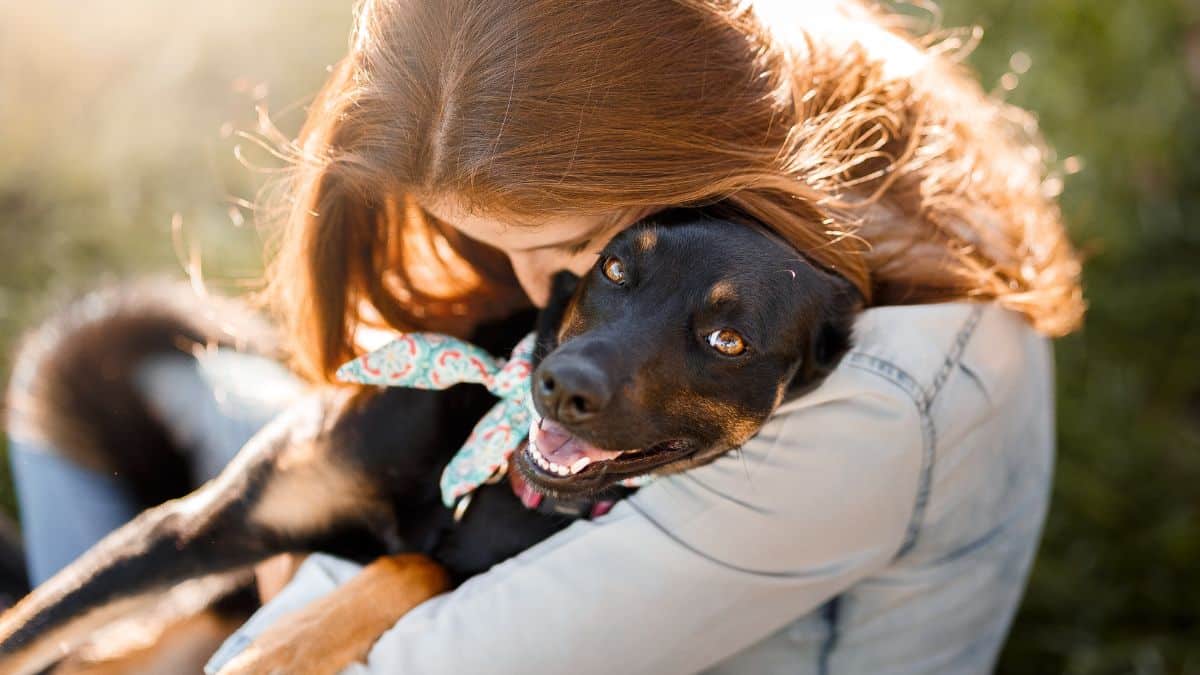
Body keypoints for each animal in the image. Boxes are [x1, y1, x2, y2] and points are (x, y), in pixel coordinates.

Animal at [0, 207, 864, 667]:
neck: (485, 464)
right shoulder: (196, 527)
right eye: (616, 268)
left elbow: (416, 564)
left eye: (728, 340)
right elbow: (27, 629)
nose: (561, 385)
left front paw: (283, 646)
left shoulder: (478, 575)